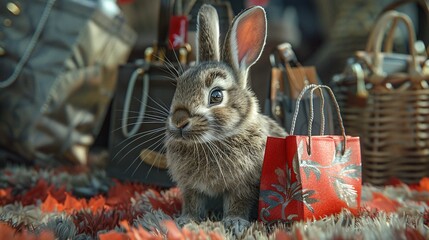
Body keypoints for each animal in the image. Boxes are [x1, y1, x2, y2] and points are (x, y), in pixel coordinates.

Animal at [166, 3, 286, 235]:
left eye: (216, 96)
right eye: (179, 84)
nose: (178, 121)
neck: (211, 142)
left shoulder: (244, 185)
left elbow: (238, 203)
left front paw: (235, 224)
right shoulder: (190, 187)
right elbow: (192, 203)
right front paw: (186, 221)